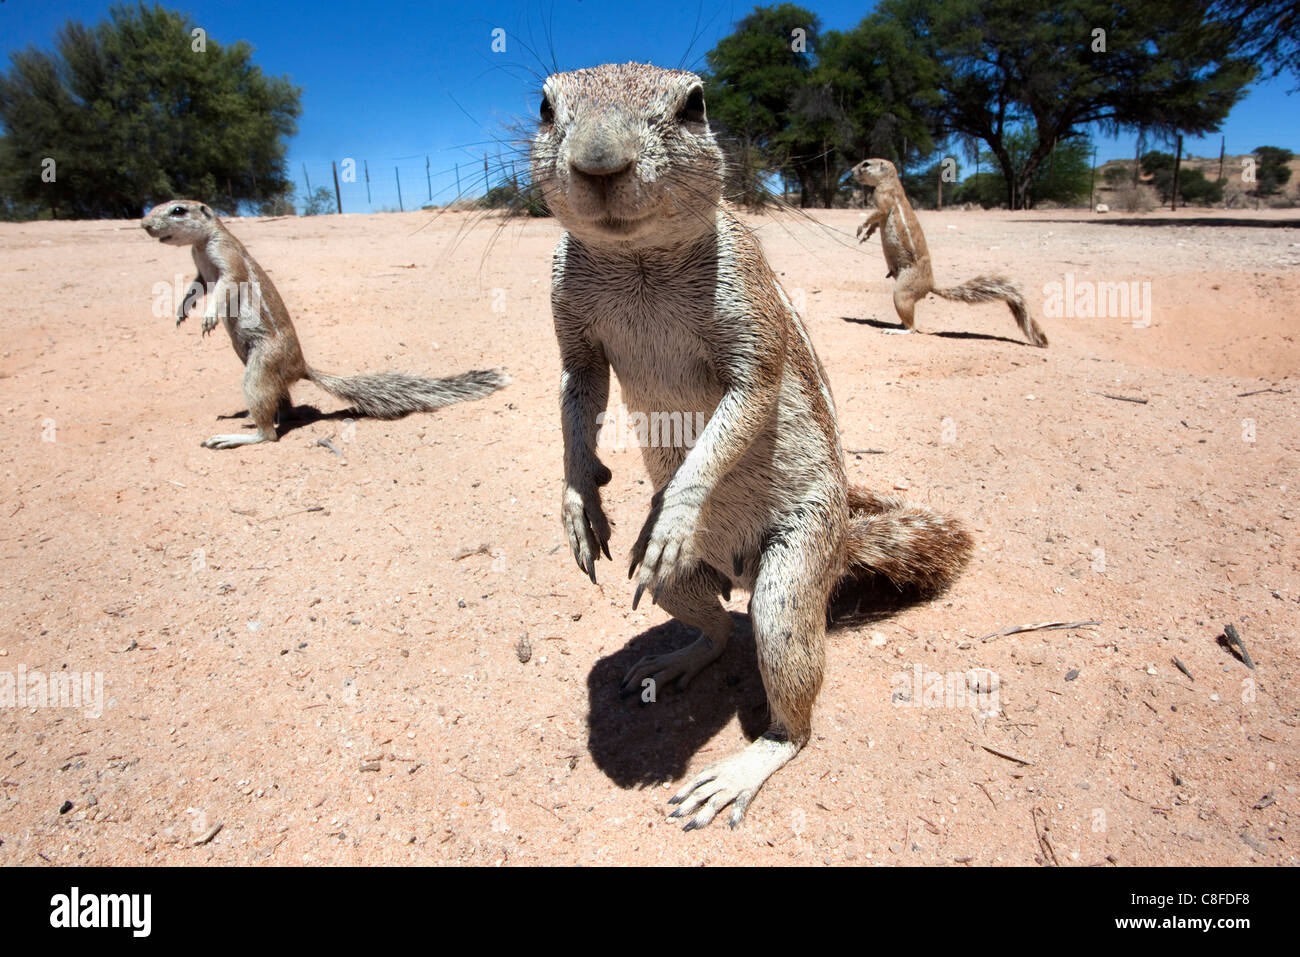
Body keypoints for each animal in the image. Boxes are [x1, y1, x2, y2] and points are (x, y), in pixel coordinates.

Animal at [142, 198, 504, 452]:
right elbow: (196, 287)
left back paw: (234, 436)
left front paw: (208, 318)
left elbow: (224, 287)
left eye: (177, 210)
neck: (201, 244)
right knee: (283, 407)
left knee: (270, 433)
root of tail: (301, 366)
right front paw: (182, 310)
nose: (144, 224)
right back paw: (249, 416)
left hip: (258, 368)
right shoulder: (200, 273)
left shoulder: (228, 261)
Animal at [530, 61, 977, 832]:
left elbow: (747, 402)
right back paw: (676, 658)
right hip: (676, 584)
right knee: (718, 630)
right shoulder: (571, 329)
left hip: (790, 584)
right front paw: (579, 503)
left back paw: (741, 768)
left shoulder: (747, 312)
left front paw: (676, 514)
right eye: (545, 107)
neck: (637, 256)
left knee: (792, 711)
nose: (599, 161)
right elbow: (574, 401)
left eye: (694, 105)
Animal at [847, 157, 1050, 348]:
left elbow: (875, 214)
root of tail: (930, 285)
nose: (851, 171)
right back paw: (898, 325)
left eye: (866, 164)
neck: (890, 181)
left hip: (902, 292)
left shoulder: (884, 198)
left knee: (913, 327)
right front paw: (865, 235)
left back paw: (895, 330)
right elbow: (875, 223)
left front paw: (860, 227)